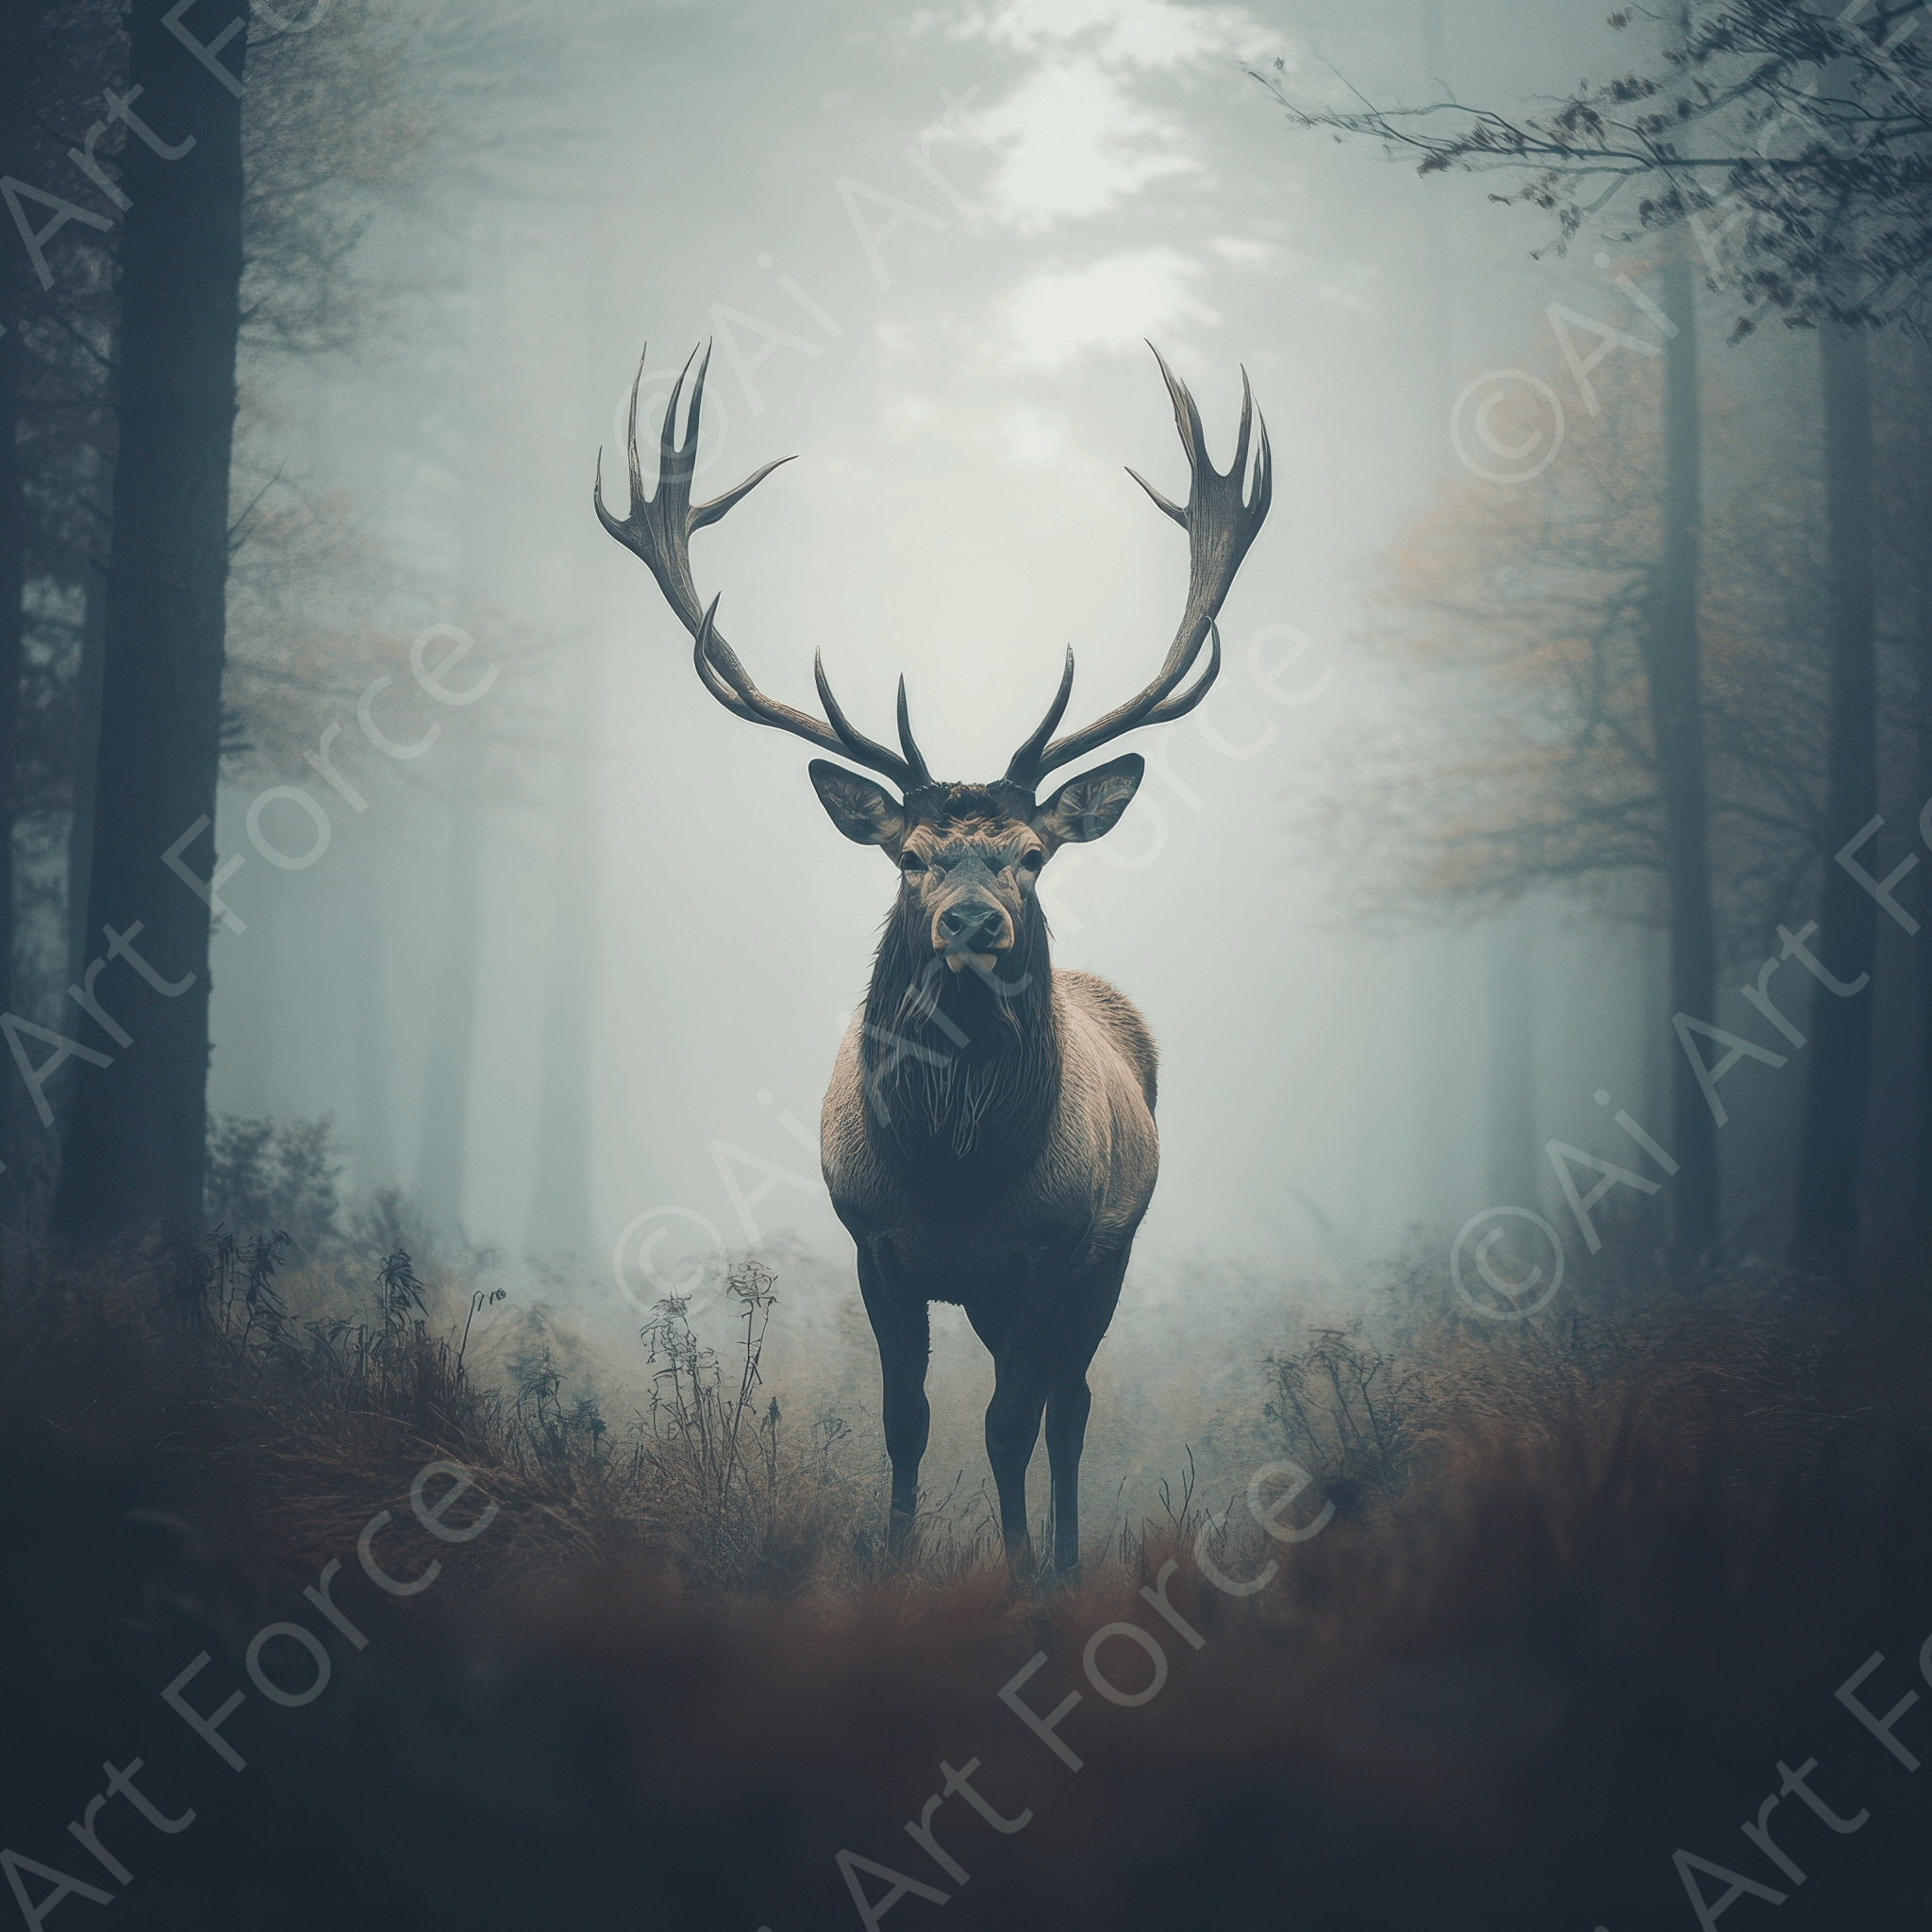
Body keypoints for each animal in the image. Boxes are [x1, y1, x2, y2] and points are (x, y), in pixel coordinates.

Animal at [596, 342, 1271, 1581]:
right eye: (909, 856)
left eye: (1030, 857)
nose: (970, 923)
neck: (955, 1169)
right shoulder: (875, 1243)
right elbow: (904, 1419)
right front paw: (901, 1558)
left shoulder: (1053, 1246)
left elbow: (1010, 1423)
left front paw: (1020, 1575)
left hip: (1111, 1253)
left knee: (1069, 1406)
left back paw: (1064, 1555)